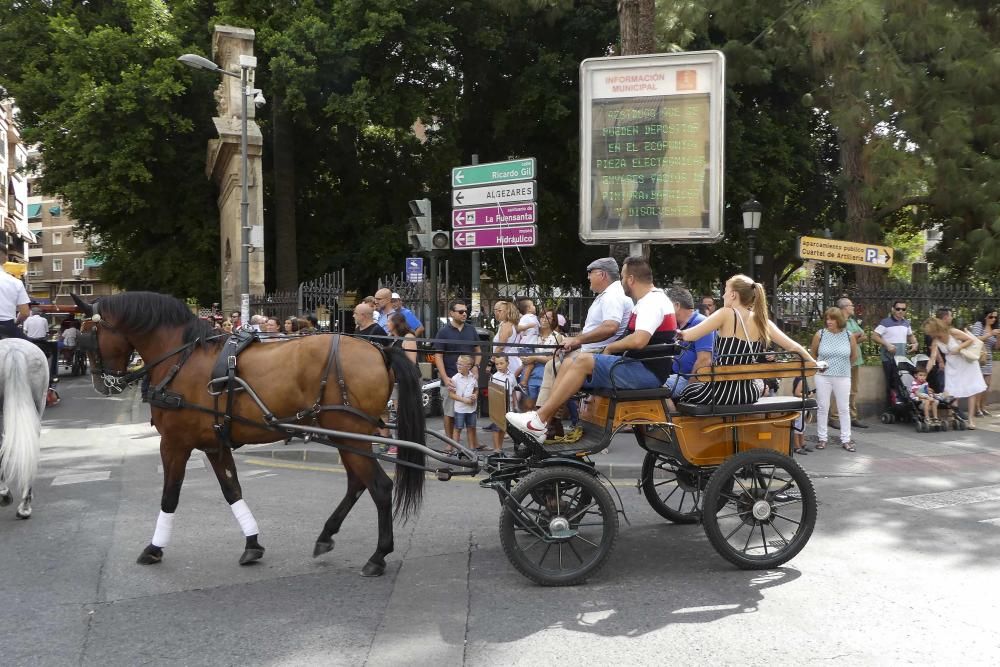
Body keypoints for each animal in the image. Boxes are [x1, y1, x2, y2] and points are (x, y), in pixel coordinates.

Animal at [73, 292, 426, 580]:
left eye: (89, 334)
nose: (100, 383)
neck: (182, 358)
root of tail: (378, 350)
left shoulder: (174, 443)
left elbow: (170, 496)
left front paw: (154, 547)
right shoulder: (214, 444)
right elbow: (232, 490)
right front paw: (252, 543)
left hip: (350, 436)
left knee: (379, 487)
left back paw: (378, 555)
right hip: (345, 436)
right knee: (357, 484)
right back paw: (327, 535)